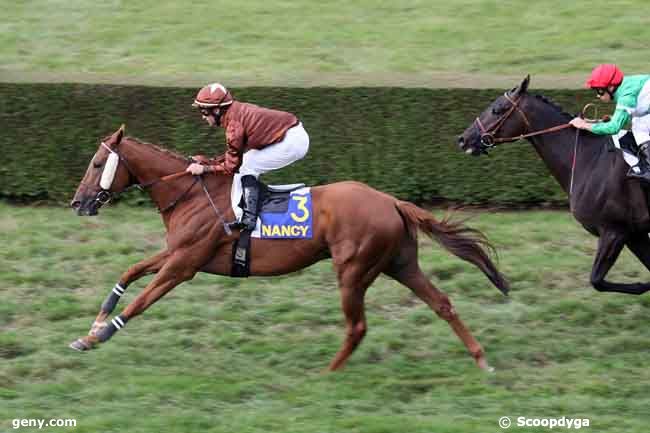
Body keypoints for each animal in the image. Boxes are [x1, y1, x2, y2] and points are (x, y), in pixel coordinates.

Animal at [69, 125, 506, 372]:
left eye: (96, 164)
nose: (77, 202)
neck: (190, 193)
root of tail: (391, 201)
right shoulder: (177, 253)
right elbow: (129, 272)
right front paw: (95, 322)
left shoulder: (183, 265)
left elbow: (142, 301)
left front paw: (96, 337)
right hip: (399, 263)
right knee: (442, 303)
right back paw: (482, 360)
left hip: (354, 269)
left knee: (358, 326)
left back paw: (327, 375)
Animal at [458, 76, 648, 296]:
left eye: (497, 109)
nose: (463, 139)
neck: (589, 159)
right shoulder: (634, 234)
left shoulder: (614, 231)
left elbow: (596, 280)